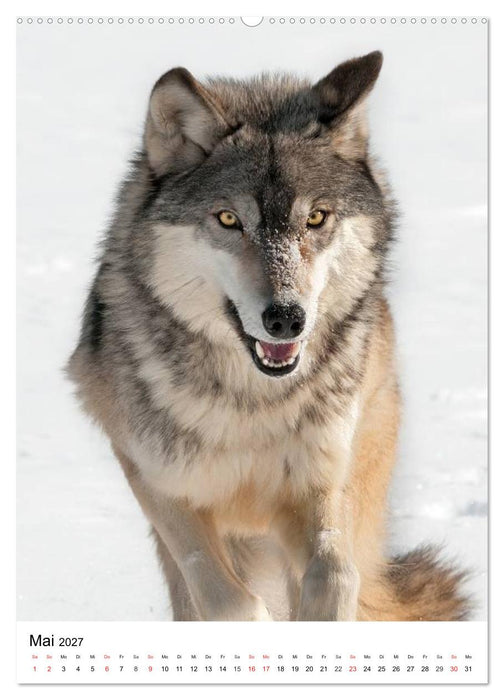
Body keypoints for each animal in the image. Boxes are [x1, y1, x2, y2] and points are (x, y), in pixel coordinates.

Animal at [67, 51, 469, 621]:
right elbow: (227, 600)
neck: (251, 405)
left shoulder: (316, 485)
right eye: (228, 219)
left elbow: (336, 575)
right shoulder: (159, 485)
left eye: (316, 217)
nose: (286, 318)